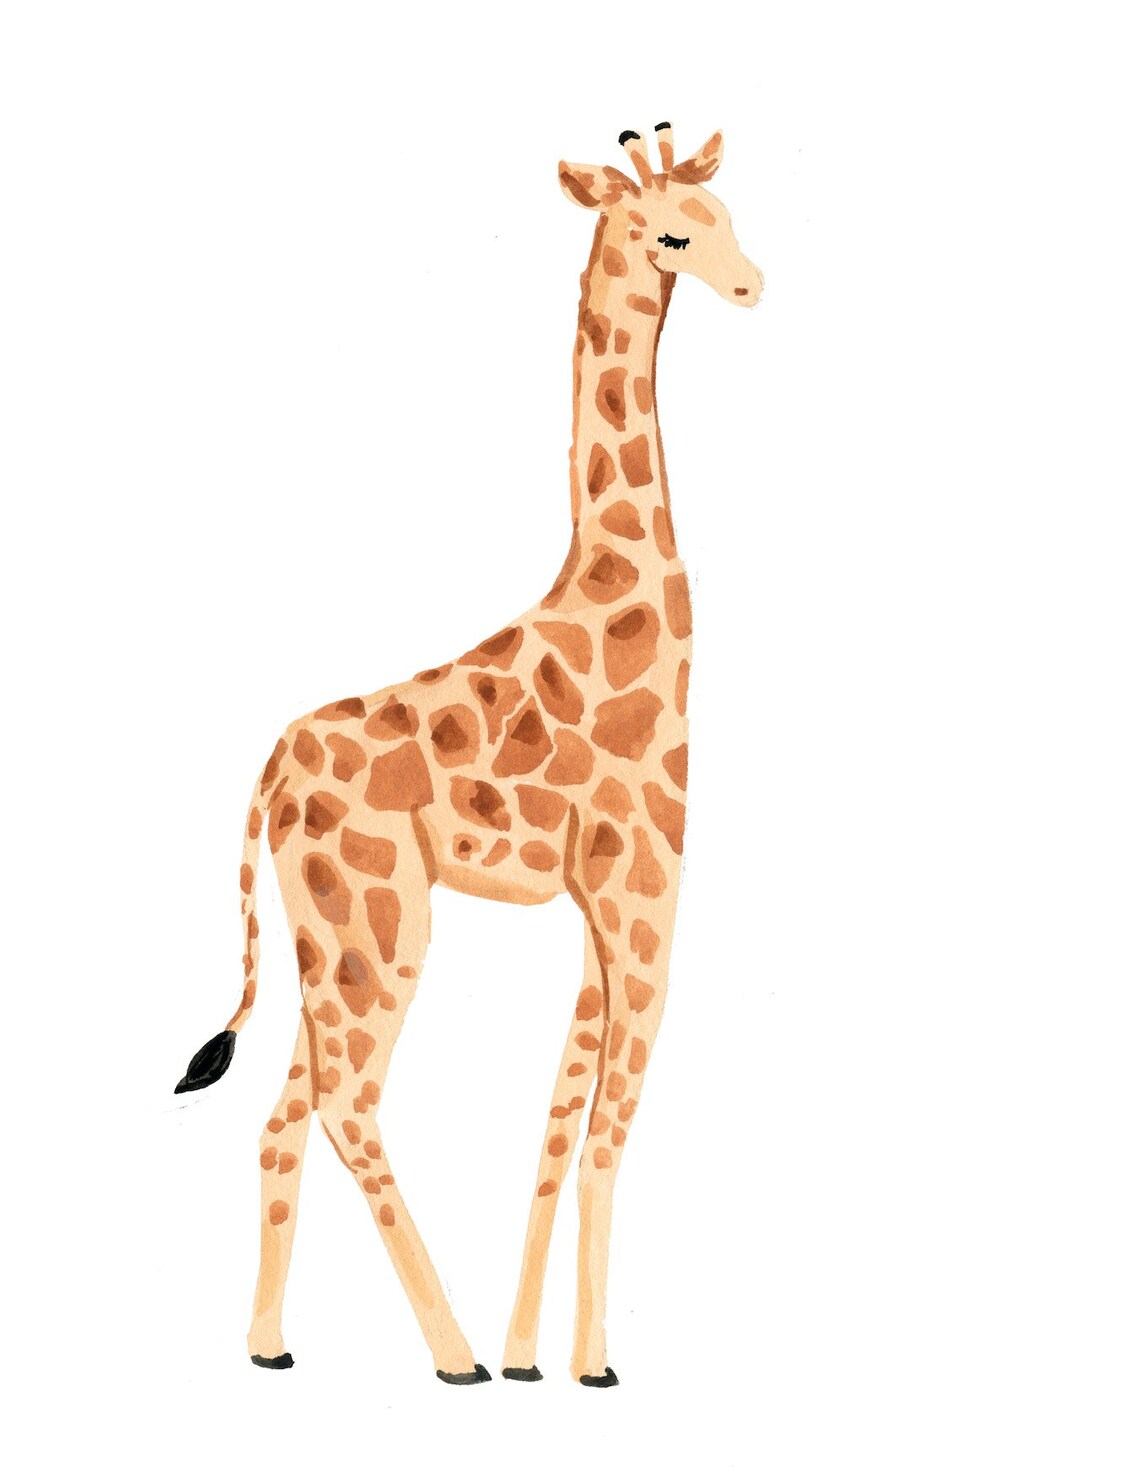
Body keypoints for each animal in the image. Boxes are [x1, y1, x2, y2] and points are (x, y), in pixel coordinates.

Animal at [177, 122, 763, 1386]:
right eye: (672, 233)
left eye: (729, 214)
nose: (752, 284)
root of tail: (267, 776)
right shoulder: (645, 886)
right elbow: (608, 1126)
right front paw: (587, 1362)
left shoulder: (598, 903)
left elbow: (556, 1119)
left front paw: (537, 1349)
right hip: (382, 925)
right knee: (346, 1105)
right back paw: (448, 1356)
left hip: (330, 935)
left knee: (285, 1112)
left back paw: (271, 1345)